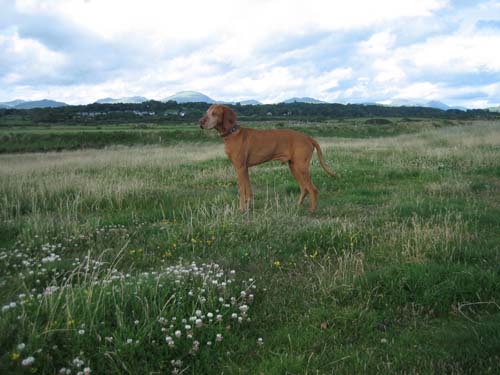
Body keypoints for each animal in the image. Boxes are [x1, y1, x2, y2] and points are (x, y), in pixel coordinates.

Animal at [199, 105, 336, 212]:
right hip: (294, 167)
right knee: (304, 188)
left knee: (313, 189)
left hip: (301, 167)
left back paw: (312, 209)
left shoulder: (240, 168)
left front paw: (241, 209)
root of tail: (308, 137)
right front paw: (249, 207)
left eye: (214, 113)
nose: (200, 122)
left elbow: (242, 191)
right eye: (207, 112)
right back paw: (297, 206)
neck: (232, 133)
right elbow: (248, 190)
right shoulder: (244, 169)